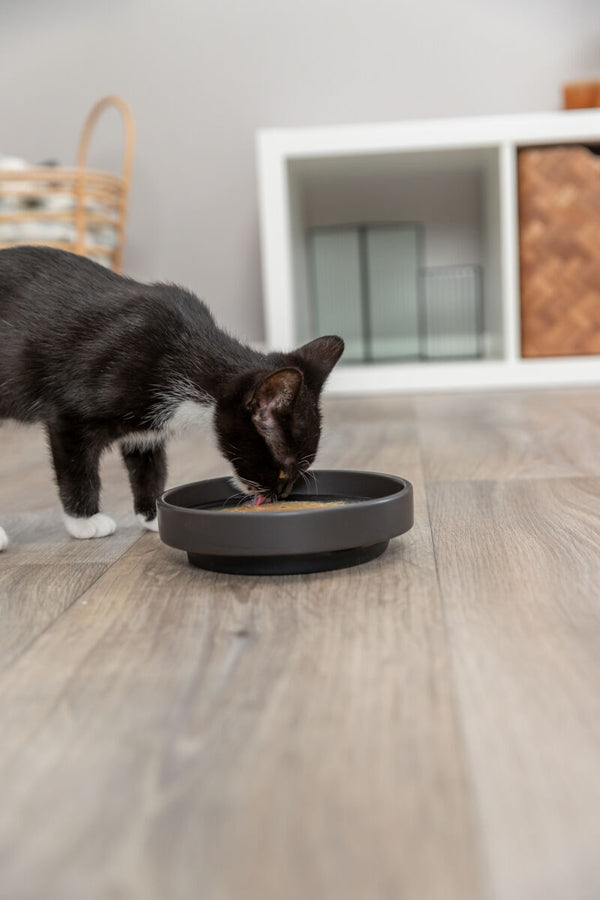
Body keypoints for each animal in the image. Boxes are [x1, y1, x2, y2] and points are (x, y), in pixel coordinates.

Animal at [0, 244, 344, 548]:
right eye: (285, 467)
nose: (282, 493)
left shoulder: (146, 430)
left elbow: (149, 466)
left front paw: (154, 513)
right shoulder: (70, 413)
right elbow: (76, 467)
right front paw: (85, 521)